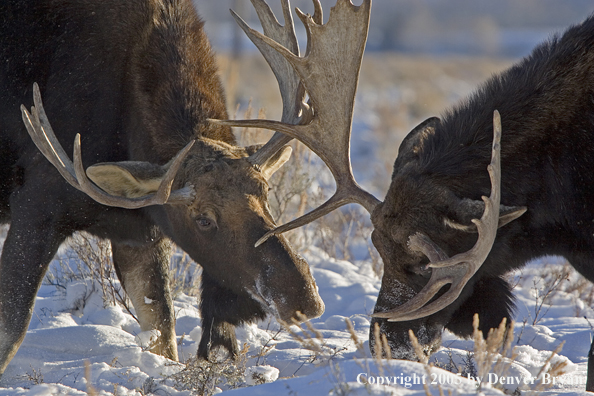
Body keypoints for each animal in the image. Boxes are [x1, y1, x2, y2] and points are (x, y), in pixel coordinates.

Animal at [0, 0, 328, 378]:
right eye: (203, 219)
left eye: (266, 191)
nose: (304, 298)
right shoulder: (37, 205)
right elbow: (11, 330)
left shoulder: (140, 232)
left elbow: (163, 331)